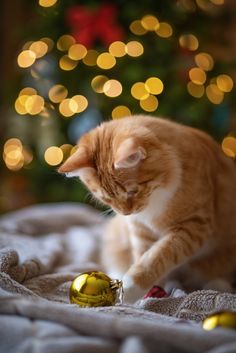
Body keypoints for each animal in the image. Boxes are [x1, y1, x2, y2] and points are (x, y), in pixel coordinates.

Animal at [58, 114, 236, 302]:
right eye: (106, 198)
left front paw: (130, 287)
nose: (126, 213)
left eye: (132, 191)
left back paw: (217, 285)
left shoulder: (194, 225)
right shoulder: (140, 230)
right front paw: (148, 290)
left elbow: (158, 256)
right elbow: (143, 255)